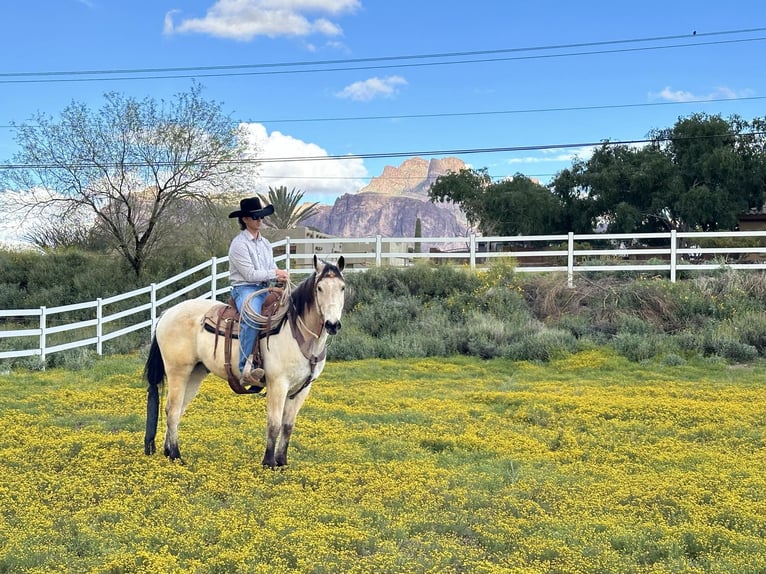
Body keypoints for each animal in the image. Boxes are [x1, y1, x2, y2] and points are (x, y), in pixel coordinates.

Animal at [143, 255, 345, 468]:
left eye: (342, 287)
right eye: (320, 288)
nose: (332, 325)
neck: (296, 332)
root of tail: (166, 313)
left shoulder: (301, 389)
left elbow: (288, 426)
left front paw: (282, 463)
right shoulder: (278, 384)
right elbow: (274, 424)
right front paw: (269, 463)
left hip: (195, 374)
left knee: (176, 410)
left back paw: (168, 452)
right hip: (178, 372)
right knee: (173, 410)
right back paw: (176, 455)